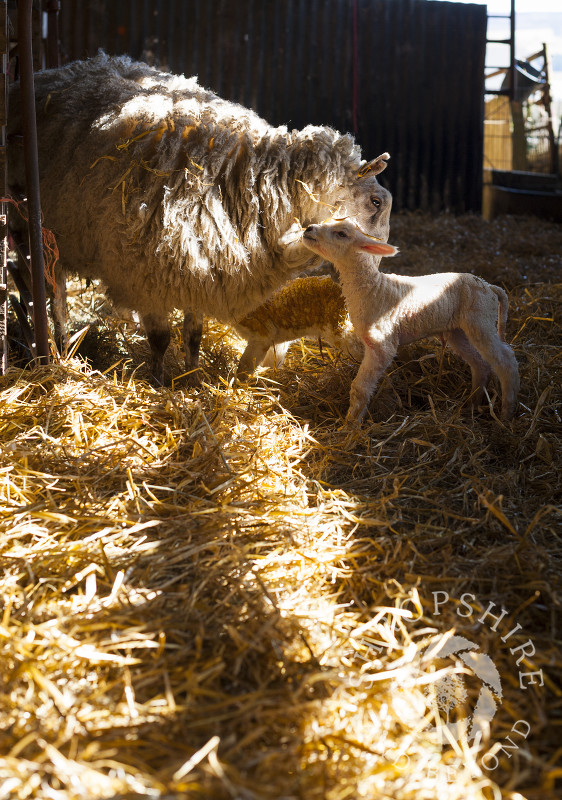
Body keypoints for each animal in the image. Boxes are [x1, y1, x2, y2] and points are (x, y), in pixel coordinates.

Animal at [300, 216, 520, 422]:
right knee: (480, 364)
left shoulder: (382, 344)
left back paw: (506, 413)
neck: (372, 289)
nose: (309, 229)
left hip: (481, 319)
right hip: (458, 330)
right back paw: (472, 405)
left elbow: (360, 388)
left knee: (506, 360)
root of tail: (490, 286)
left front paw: (351, 425)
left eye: (342, 234)